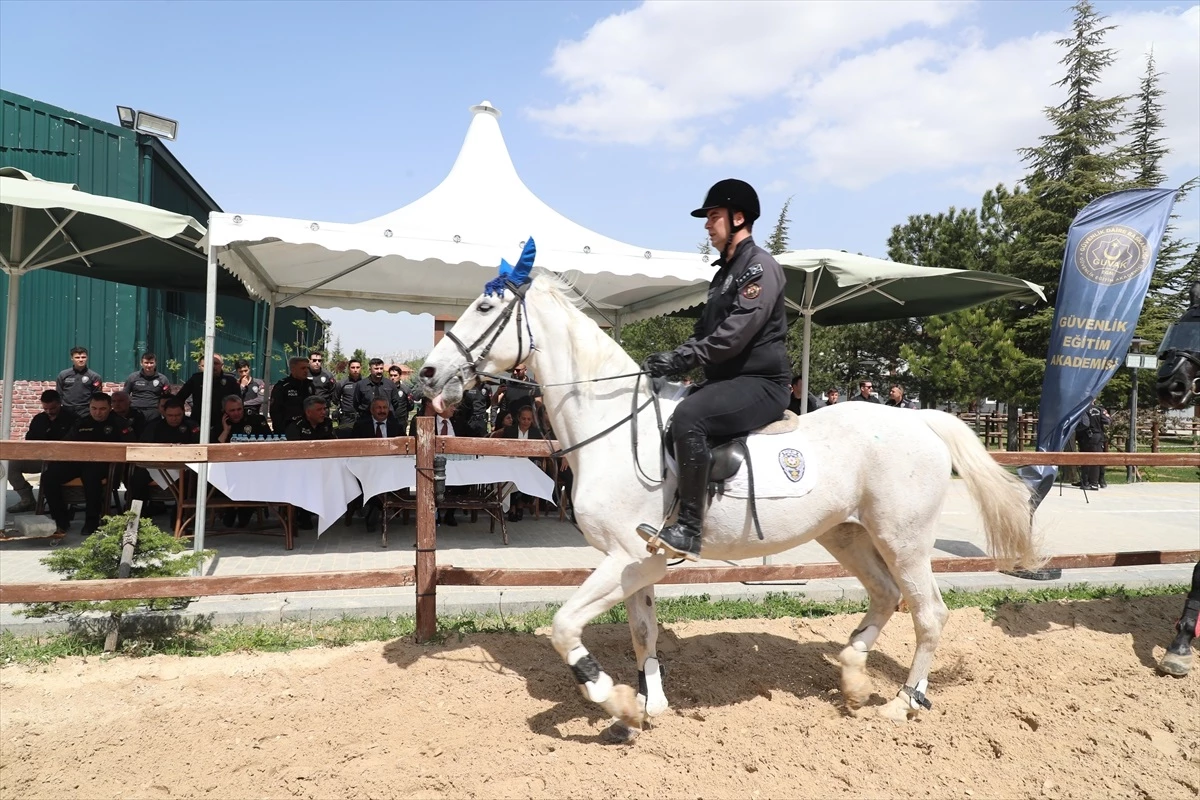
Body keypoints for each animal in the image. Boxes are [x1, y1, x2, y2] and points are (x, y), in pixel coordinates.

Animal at [422, 272, 1041, 734]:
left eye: (484, 306)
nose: (427, 375)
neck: (613, 426)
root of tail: (922, 420)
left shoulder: (625, 556)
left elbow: (563, 626)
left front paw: (610, 697)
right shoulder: (640, 565)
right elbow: (642, 632)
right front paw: (649, 706)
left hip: (904, 539)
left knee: (929, 612)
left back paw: (903, 702)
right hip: (846, 534)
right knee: (886, 597)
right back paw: (852, 676)